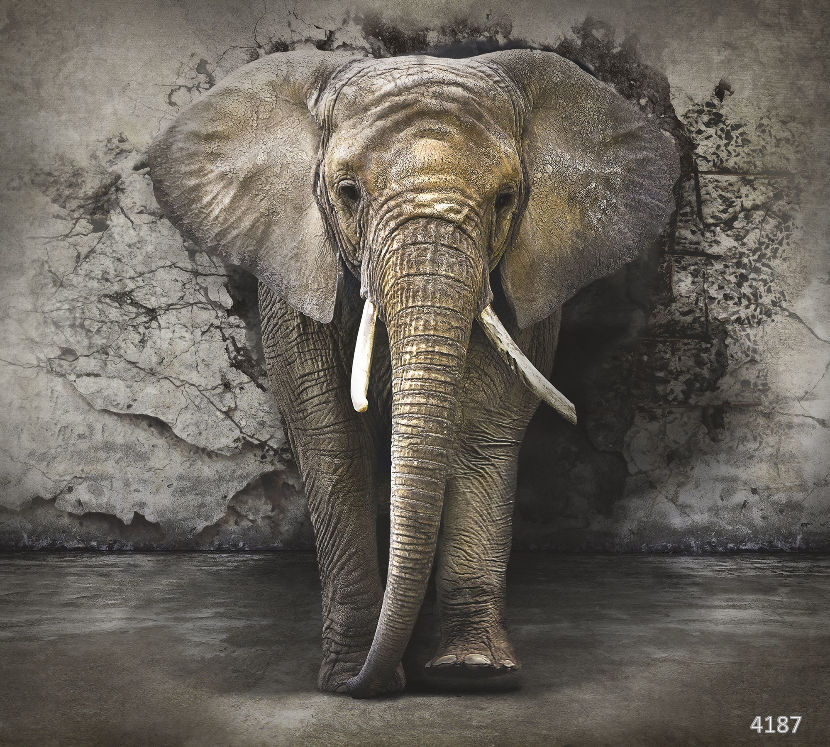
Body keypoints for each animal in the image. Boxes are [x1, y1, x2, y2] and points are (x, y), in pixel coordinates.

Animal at [148, 48, 679, 698]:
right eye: (348, 192)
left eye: (506, 199)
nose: (366, 685)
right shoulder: (296, 284)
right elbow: (332, 442)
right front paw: (349, 678)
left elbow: (479, 441)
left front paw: (474, 675)